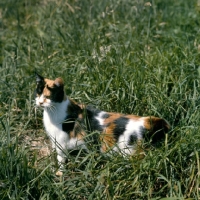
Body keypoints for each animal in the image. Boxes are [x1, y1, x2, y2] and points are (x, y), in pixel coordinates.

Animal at [35, 73, 170, 175]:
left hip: (131, 153)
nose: (40, 102)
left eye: (47, 96)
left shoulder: (60, 144)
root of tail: (146, 121)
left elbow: (61, 160)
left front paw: (59, 173)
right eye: (38, 93)